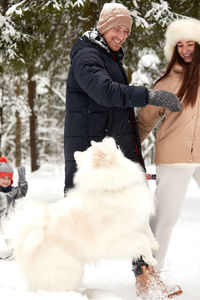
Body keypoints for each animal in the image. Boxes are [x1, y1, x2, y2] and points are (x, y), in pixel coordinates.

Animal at [13, 138, 159, 292]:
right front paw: (151, 259)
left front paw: (155, 245)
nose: (108, 136)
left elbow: (148, 232)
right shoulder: (117, 238)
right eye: (104, 143)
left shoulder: (139, 219)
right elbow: (143, 241)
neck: (112, 189)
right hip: (67, 271)